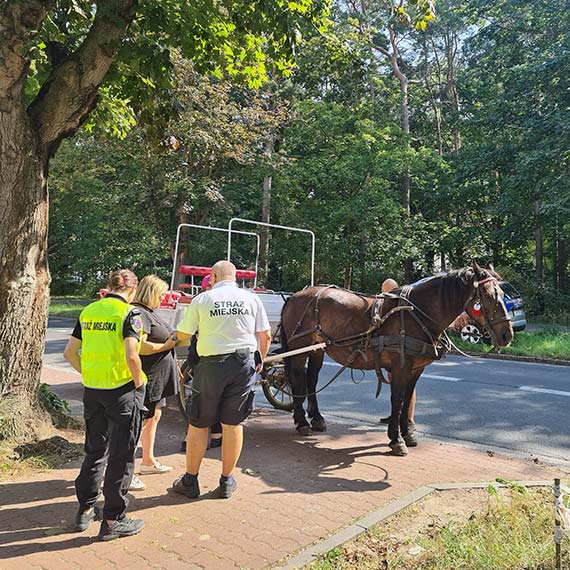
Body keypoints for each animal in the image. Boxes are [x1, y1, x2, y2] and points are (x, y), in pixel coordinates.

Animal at [278, 264, 510, 454]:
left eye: (502, 293)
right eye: (488, 296)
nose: (507, 335)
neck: (416, 314)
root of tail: (295, 296)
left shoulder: (416, 369)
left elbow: (407, 399)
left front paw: (407, 433)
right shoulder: (400, 367)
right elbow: (397, 400)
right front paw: (396, 439)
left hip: (316, 350)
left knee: (311, 379)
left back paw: (316, 419)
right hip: (299, 349)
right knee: (297, 379)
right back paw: (302, 422)